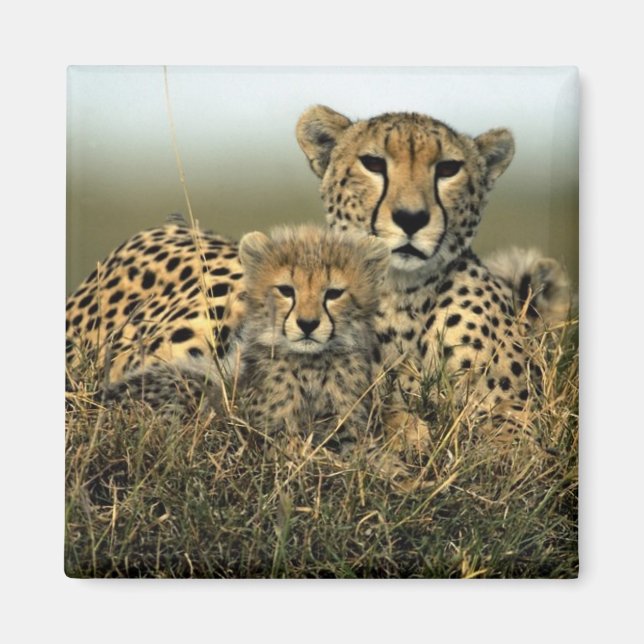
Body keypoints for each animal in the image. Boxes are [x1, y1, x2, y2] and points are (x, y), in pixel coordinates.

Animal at [101, 225, 395, 454]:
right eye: (286, 290)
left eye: (333, 293)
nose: (308, 324)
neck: (311, 364)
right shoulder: (269, 433)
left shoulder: (348, 429)